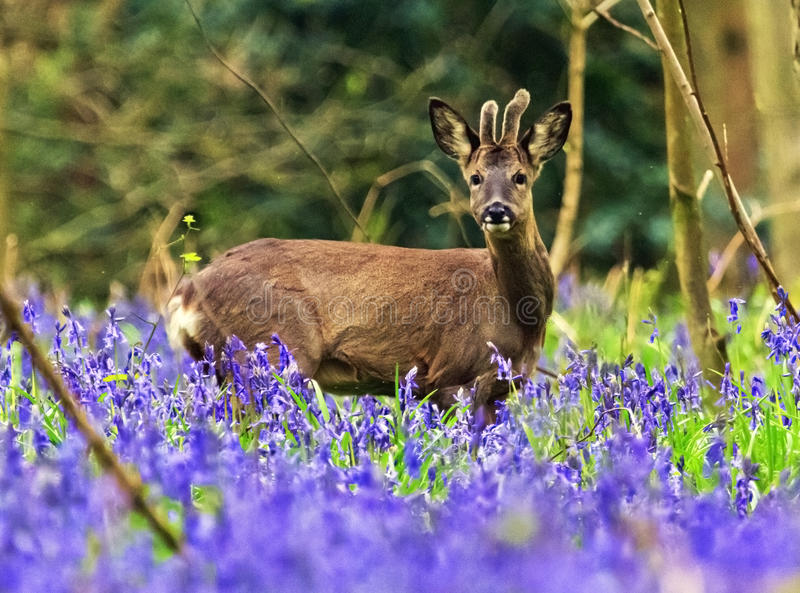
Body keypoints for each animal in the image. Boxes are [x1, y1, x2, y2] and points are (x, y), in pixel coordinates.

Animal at [167, 89, 571, 420]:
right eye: (475, 177)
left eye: (520, 176)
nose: (496, 211)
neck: (517, 314)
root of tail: (187, 293)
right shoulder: (452, 373)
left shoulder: (498, 391)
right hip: (268, 350)